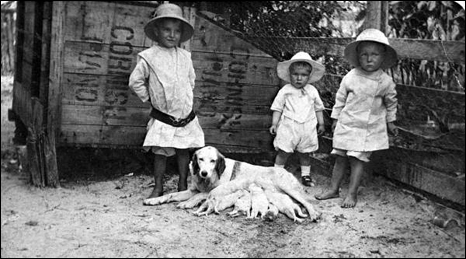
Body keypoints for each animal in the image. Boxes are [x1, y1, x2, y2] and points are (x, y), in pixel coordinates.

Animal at [144, 146, 322, 223]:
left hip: (288, 188)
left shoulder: (210, 190)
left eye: (213, 161)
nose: (204, 173)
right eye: (200, 159)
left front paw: (187, 203)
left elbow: (201, 195)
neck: (207, 180)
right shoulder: (192, 189)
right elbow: (171, 195)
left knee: (307, 203)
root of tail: (287, 171)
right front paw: (154, 200)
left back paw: (314, 214)